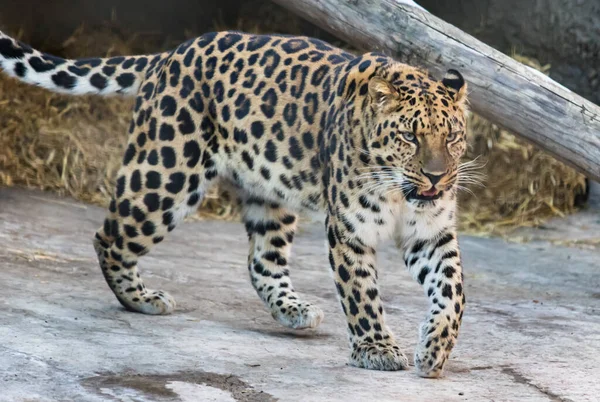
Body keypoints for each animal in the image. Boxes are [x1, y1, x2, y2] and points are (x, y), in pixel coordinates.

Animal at [0, 29, 468, 376]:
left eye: (451, 137)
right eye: (409, 136)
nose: (436, 176)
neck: (399, 191)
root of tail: (170, 54)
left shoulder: (431, 234)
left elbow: (453, 292)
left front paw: (436, 348)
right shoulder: (350, 232)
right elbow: (362, 295)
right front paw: (377, 348)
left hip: (267, 194)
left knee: (261, 261)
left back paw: (294, 310)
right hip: (165, 175)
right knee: (108, 237)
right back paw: (140, 298)